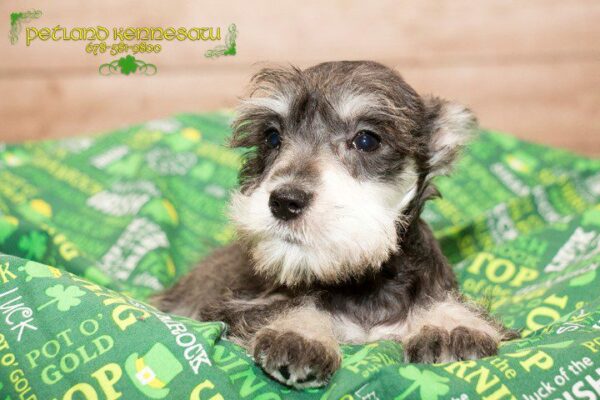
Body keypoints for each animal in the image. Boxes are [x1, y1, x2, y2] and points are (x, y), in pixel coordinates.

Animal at [154, 61, 516, 390]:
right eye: (272, 137)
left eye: (367, 140)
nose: (284, 201)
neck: (362, 282)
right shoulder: (242, 303)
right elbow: (291, 303)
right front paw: (300, 330)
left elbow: (438, 297)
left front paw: (449, 325)